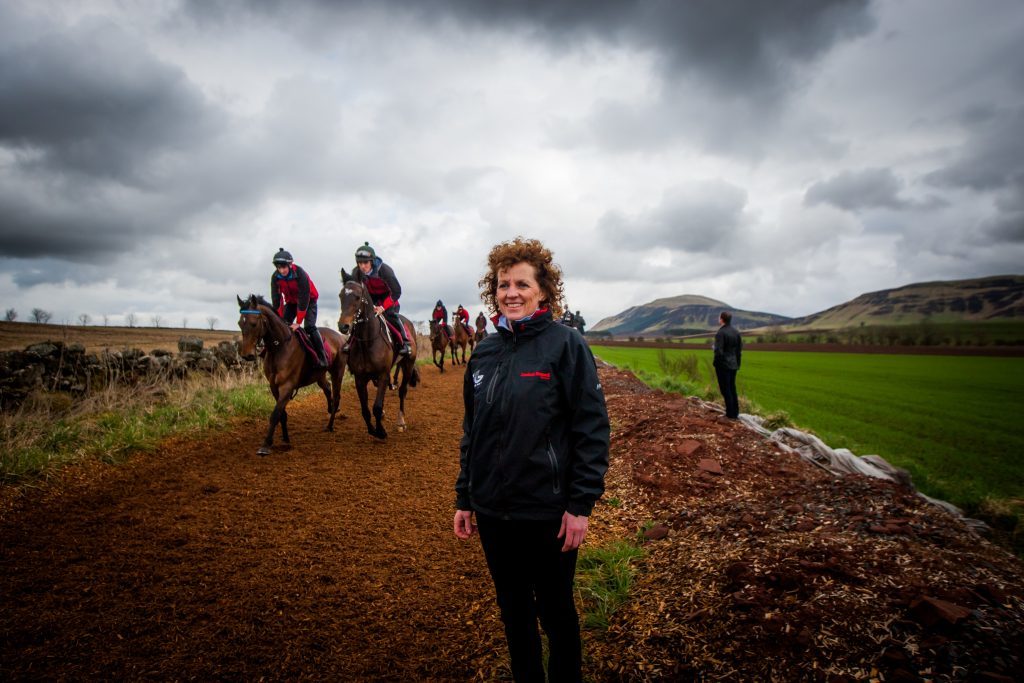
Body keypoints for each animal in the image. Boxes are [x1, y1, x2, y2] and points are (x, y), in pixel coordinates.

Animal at [235, 292, 348, 456]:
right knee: (327, 388)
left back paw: (330, 425)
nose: (246, 355)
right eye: (240, 323)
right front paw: (285, 438)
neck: (279, 347)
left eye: (254, 323)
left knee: (337, 395)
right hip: (319, 375)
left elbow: (275, 414)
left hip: (337, 372)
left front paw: (266, 444)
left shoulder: (287, 386)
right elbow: (282, 414)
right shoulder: (274, 386)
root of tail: (341, 337)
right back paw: (330, 407)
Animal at [335, 270, 415, 440]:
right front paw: (373, 429)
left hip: (408, 364)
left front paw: (381, 431)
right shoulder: (360, 378)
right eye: (340, 295)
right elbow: (365, 409)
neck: (367, 341)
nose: (343, 326)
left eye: (357, 296)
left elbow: (376, 407)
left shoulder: (383, 373)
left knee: (402, 391)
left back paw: (401, 422)